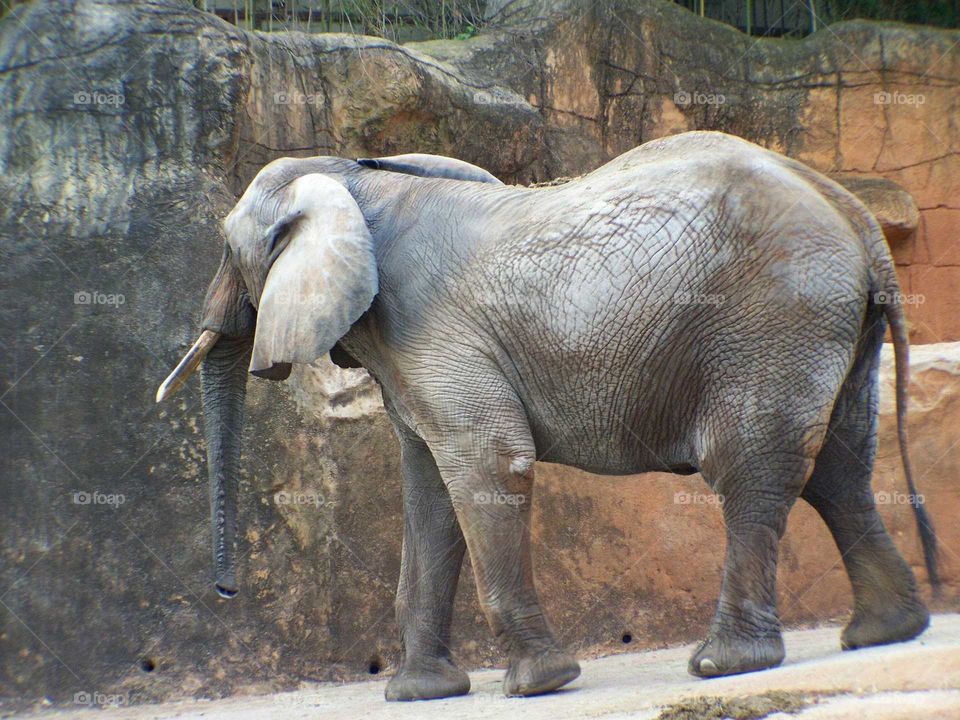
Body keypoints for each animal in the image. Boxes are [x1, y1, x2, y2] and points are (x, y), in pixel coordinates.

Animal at [157, 131, 938, 700]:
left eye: (227, 247)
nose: (226, 591)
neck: (358, 176)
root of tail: (851, 209)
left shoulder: (429, 329)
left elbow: (486, 464)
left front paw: (539, 685)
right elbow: (430, 494)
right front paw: (418, 694)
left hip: (772, 311)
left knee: (749, 463)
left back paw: (725, 664)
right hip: (824, 317)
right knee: (839, 465)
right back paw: (884, 632)